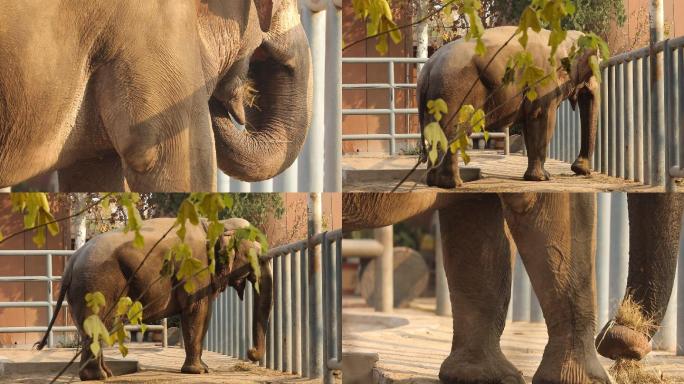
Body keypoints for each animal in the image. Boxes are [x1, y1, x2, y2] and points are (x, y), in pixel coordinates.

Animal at [34, 218, 270, 380]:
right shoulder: (195, 267)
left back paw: (104, 374)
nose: (250, 353)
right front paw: (198, 372)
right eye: (255, 257)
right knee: (99, 325)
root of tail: (72, 261)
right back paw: (98, 377)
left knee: (95, 329)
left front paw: (203, 369)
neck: (215, 223)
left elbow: (202, 312)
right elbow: (196, 310)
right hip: (95, 285)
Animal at [416, 25, 600, 188]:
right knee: (455, 132)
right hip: (453, 94)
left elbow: (530, 124)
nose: (580, 170)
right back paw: (453, 184)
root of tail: (427, 70)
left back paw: (434, 182)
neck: (563, 38)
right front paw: (543, 178)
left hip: (435, 99)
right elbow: (541, 118)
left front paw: (535, 177)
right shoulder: (542, 81)